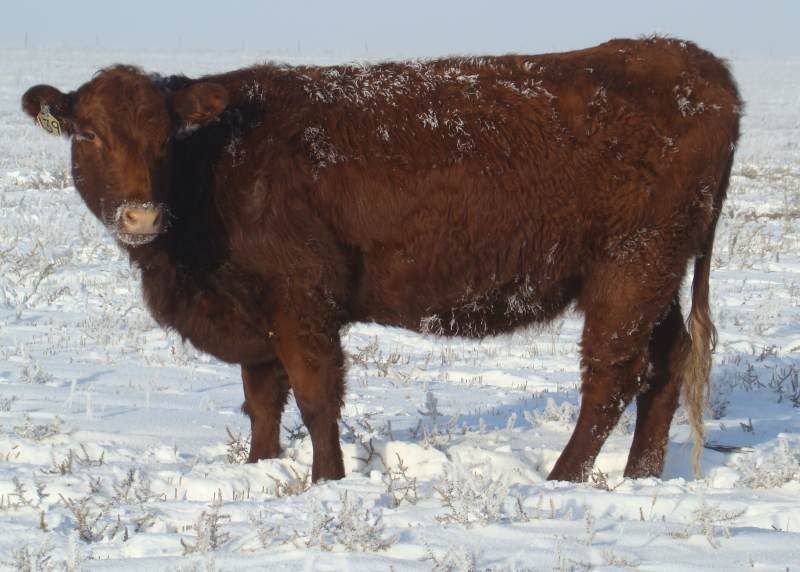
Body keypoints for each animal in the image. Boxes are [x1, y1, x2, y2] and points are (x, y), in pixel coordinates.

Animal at [22, 37, 741, 483]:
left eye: (164, 135)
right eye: (87, 133)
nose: (140, 215)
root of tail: (692, 63)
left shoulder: (303, 301)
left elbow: (316, 397)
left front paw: (326, 481)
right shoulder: (254, 312)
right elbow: (262, 401)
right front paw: (260, 469)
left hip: (631, 268)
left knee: (612, 377)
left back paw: (561, 480)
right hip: (652, 277)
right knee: (666, 363)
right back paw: (639, 475)